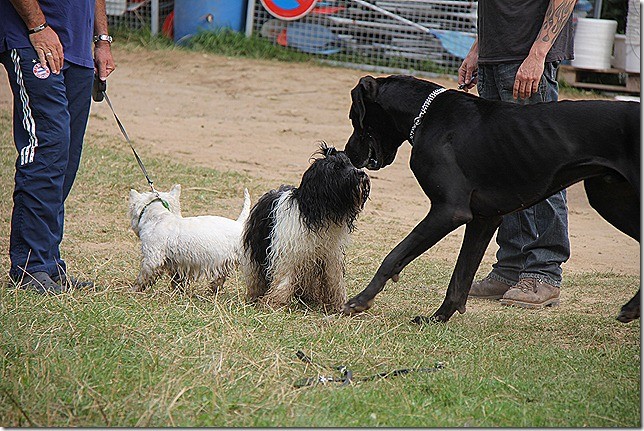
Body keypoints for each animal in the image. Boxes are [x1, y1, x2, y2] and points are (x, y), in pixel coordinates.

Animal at [242, 147, 370, 312]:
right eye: (336, 167)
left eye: (349, 163)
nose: (361, 173)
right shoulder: (288, 253)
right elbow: (284, 279)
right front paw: (274, 304)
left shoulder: (330, 255)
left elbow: (335, 280)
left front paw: (339, 305)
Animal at [342, 75, 640, 324]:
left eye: (354, 118)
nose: (347, 153)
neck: (426, 115)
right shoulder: (484, 219)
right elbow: (460, 276)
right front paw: (439, 318)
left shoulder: (449, 211)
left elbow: (394, 255)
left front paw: (360, 300)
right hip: (609, 199)